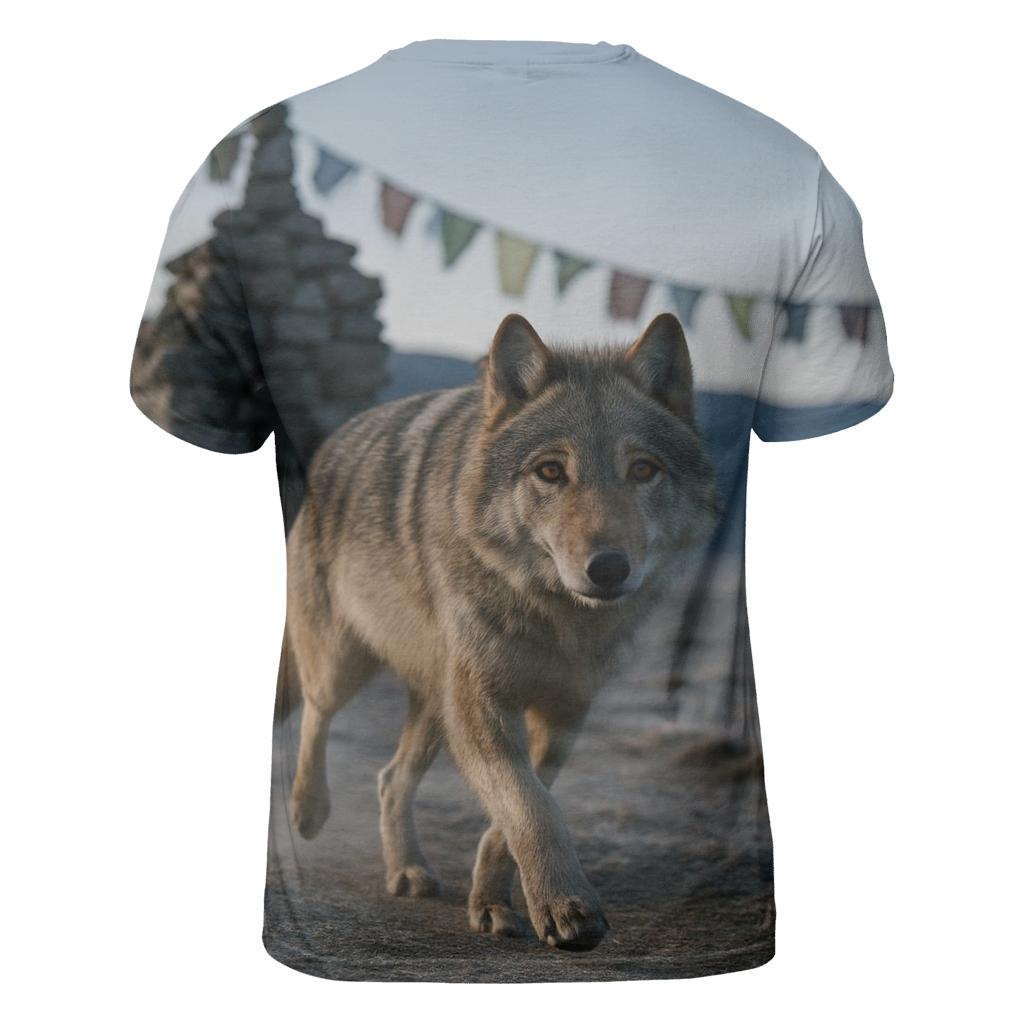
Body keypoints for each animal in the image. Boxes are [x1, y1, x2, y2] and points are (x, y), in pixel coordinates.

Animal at [281, 311, 720, 951]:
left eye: (642, 470)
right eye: (550, 471)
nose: (609, 568)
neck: (556, 619)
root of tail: (336, 439)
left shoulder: (563, 714)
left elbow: (515, 814)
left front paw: (494, 901)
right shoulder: (483, 704)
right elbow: (530, 807)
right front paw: (566, 906)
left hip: (437, 708)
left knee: (390, 779)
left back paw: (407, 870)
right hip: (345, 664)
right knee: (317, 713)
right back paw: (308, 810)